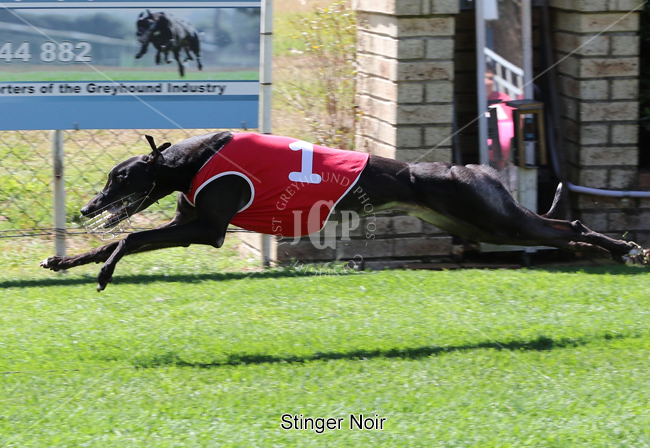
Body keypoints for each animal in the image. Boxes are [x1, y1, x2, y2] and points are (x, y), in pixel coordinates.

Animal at [40, 131, 649, 292]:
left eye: (119, 178)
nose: (87, 207)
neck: (192, 159)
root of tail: (476, 170)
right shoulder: (190, 222)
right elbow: (116, 238)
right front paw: (62, 261)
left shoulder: (204, 228)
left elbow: (129, 239)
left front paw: (104, 271)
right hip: (479, 223)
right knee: (563, 233)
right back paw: (613, 251)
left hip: (492, 216)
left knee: (569, 225)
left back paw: (626, 248)